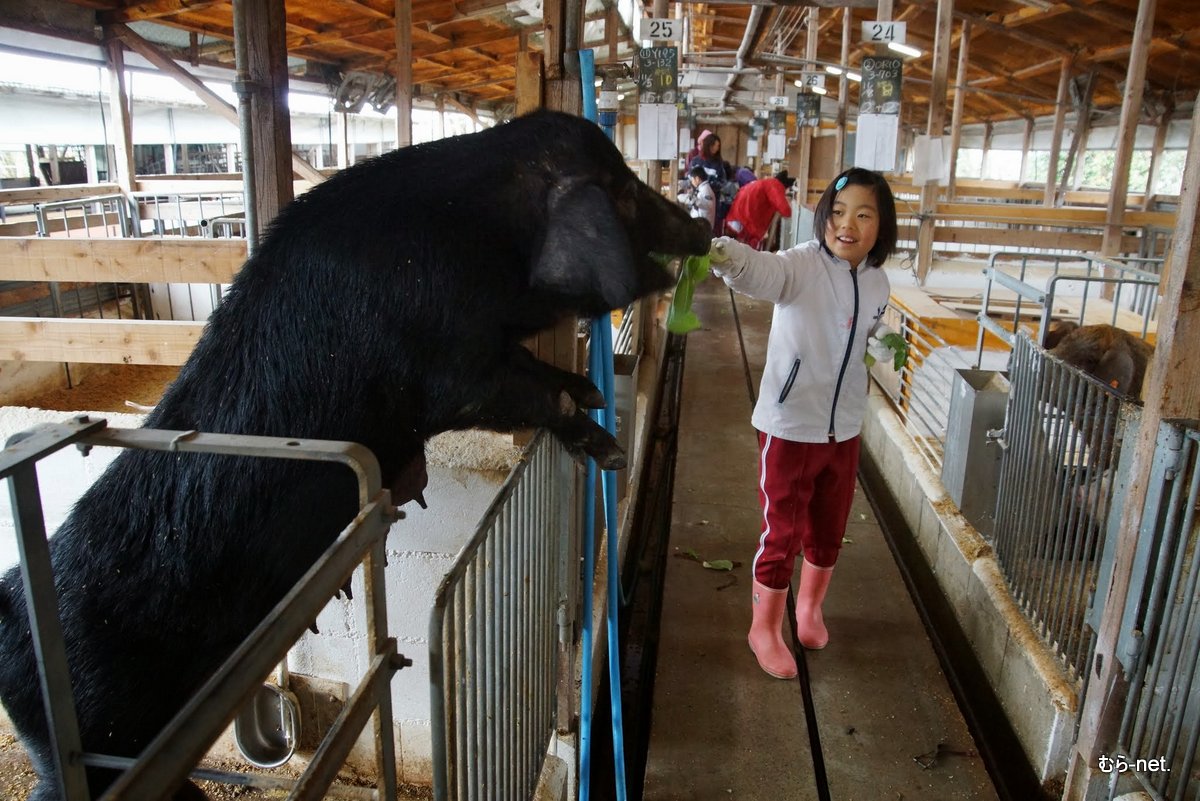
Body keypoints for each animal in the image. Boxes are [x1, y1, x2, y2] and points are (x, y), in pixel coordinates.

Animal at [0, 107, 710, 801]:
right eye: (621, 190)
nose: (700, 226)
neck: (483, 231)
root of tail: (11, 620)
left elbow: (542, 374)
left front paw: (593, 390)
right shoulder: (448, 369)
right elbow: (525, 393)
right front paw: (608, 447)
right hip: (102, 726)